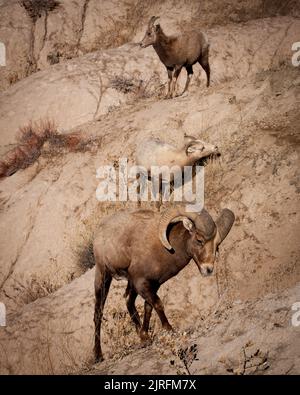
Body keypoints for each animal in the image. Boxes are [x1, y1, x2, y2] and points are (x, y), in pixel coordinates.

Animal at [94, 207, 234, 362]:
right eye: (199, 240)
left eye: (217, 245)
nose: (208, 269)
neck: (165, 249)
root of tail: (99, 232)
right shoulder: (142, 283)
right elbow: (158, 304)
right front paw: (169, 330)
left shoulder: (153, 285)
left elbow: (148, 307)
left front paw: (145, 336)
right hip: (103, 276)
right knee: (98, 313)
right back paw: (98, 356)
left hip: (129, 284)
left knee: (128, 301)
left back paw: (141, 338)